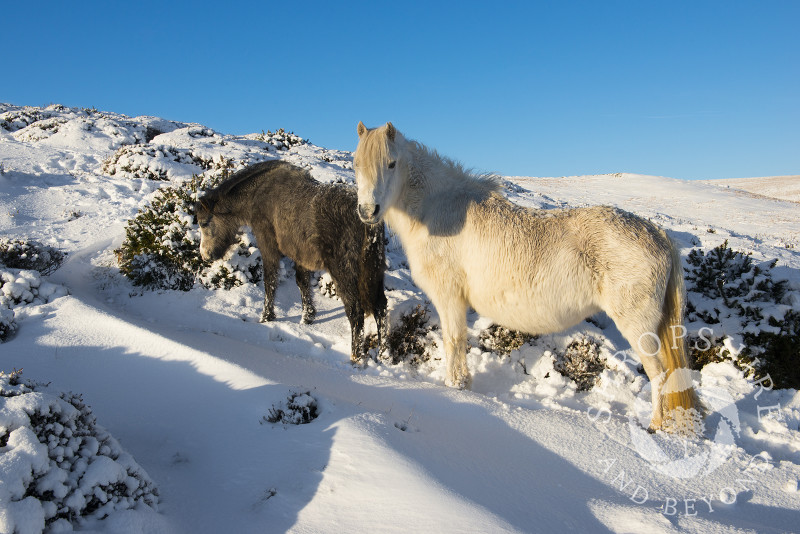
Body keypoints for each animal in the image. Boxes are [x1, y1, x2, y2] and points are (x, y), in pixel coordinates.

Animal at [354, 120, 696, 432]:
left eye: (391, 163)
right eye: (357, 164)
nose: (368, 211)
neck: (438, 211)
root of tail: (659, 234)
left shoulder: (450, 298)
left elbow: (454, 342)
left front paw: (456, 387)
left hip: (639, 326)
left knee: (660, 374)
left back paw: (655, 427)